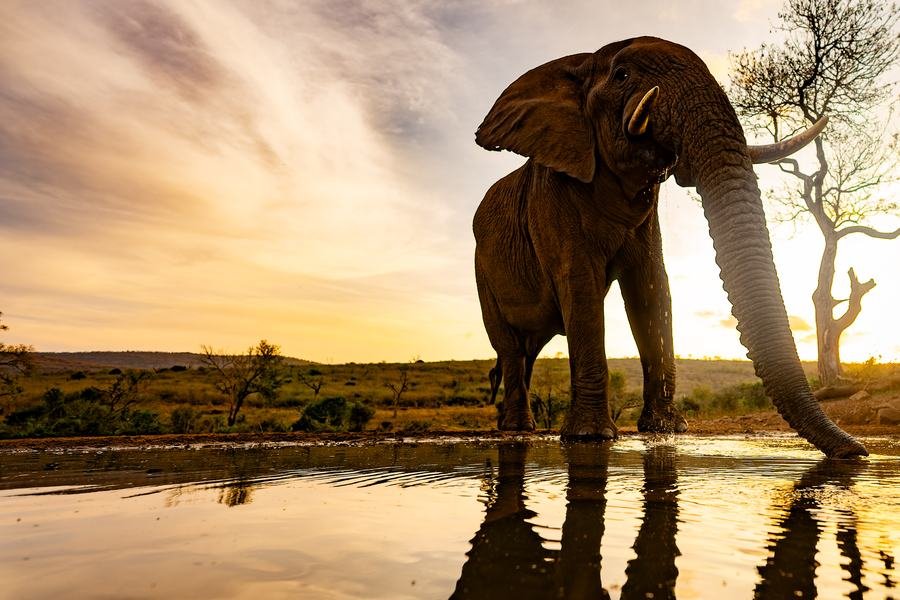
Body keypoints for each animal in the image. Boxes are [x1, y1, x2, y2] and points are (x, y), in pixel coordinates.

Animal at [473, 36, 868, 458]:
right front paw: (590, 437)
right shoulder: (554, 196)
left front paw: (666, 429)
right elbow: (581, 286)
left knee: (525, 353)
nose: (857, 451)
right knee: (510, 347)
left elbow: (652, 290)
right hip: (481, 271)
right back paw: (518, 429)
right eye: (622, 75)